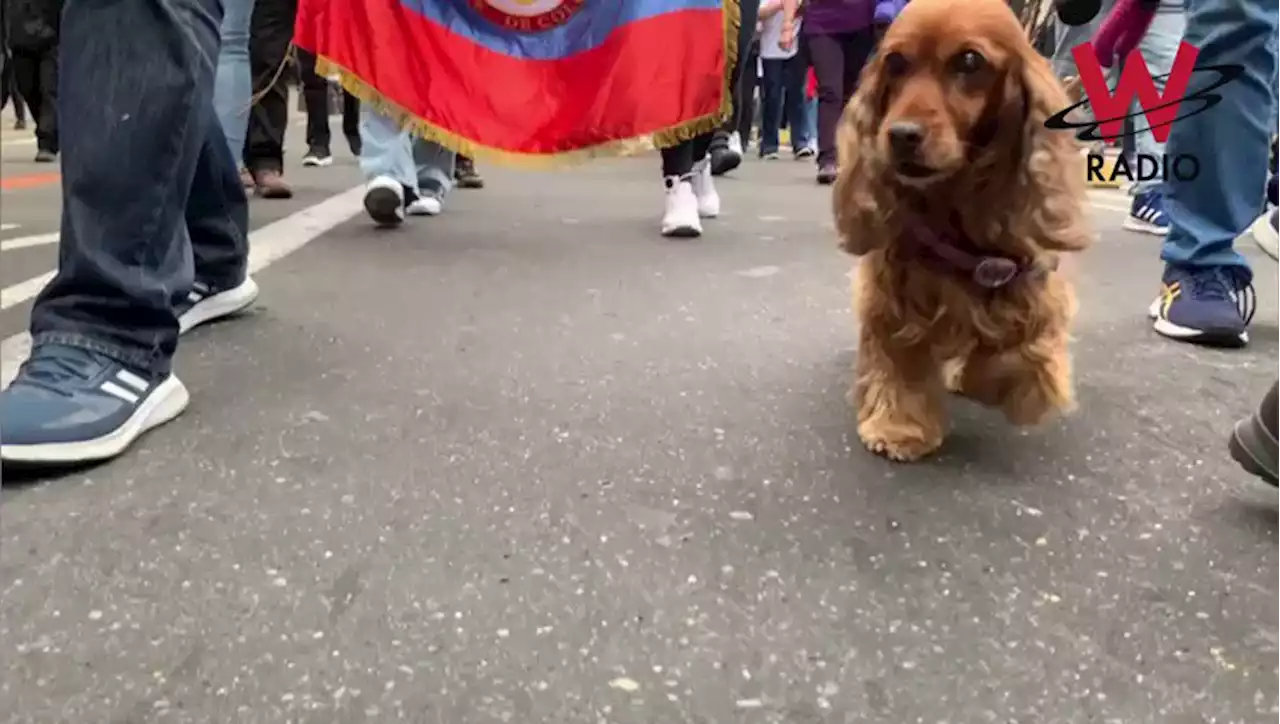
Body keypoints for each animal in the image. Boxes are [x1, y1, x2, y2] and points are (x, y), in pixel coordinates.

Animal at [834, 0, 1095, 465]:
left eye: (969, 62)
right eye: (895, 63)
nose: (900, 135)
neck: (953, 205)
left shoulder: (1032, 282)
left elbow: (1024, 351)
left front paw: (1000, 381)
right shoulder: (894, 291)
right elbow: (899, 361)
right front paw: (898, 427)